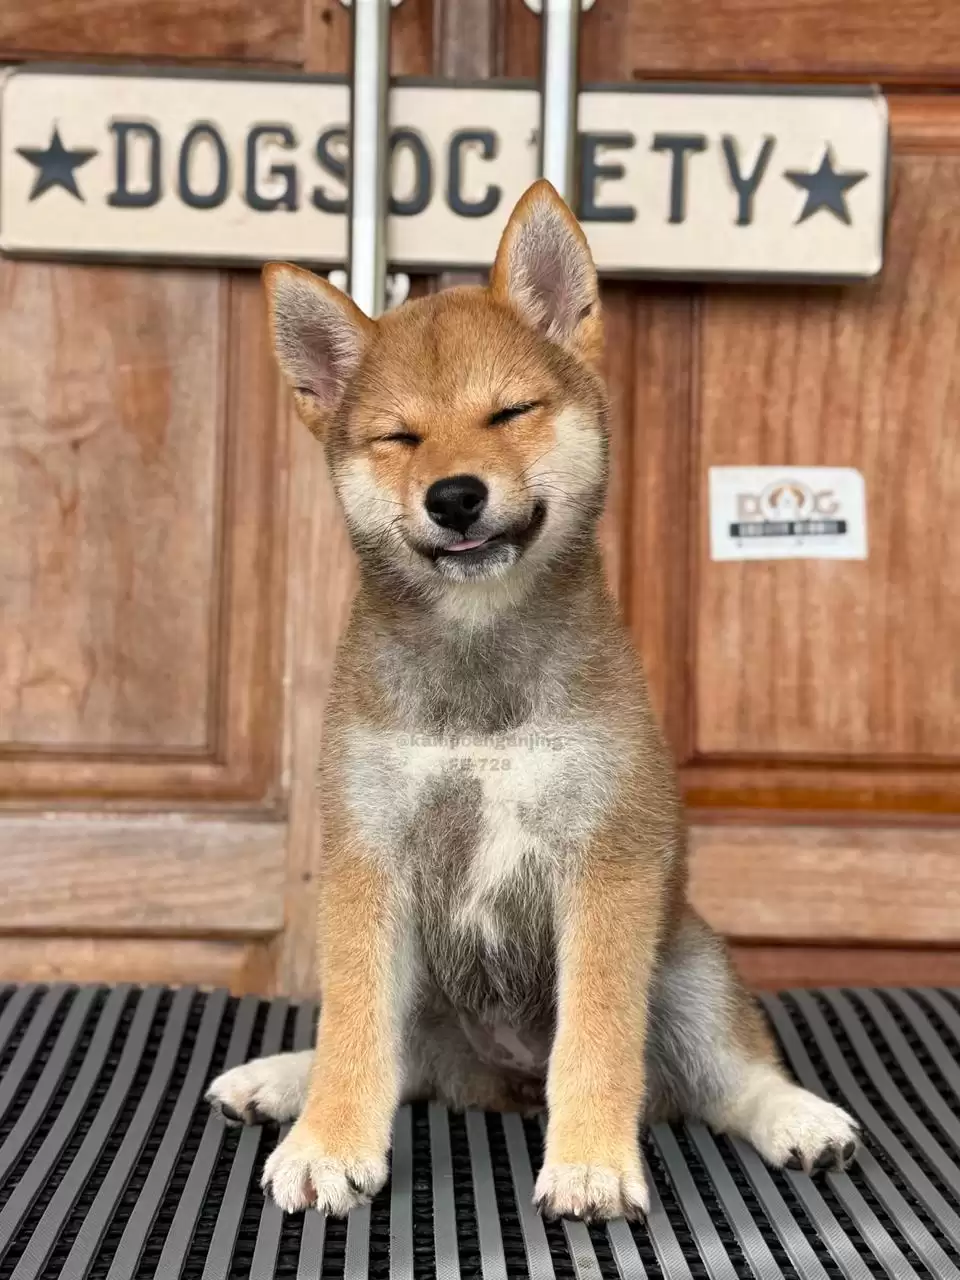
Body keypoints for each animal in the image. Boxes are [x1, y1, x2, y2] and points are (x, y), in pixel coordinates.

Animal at [207, 179, 860, 1223]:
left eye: (510, 411)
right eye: (399, 437)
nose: (455, 496)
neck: (480, 665)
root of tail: (497, 1082)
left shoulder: (606, 864)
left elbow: (595, 1041)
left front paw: (590, 1163)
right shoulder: (369, 860)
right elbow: (355, 1029)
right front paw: (327, 1140)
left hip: (687, 969)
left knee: (725, 1078)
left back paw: (797, 1118)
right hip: (430, 990)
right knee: (398, 1059)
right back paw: (279, 1081)